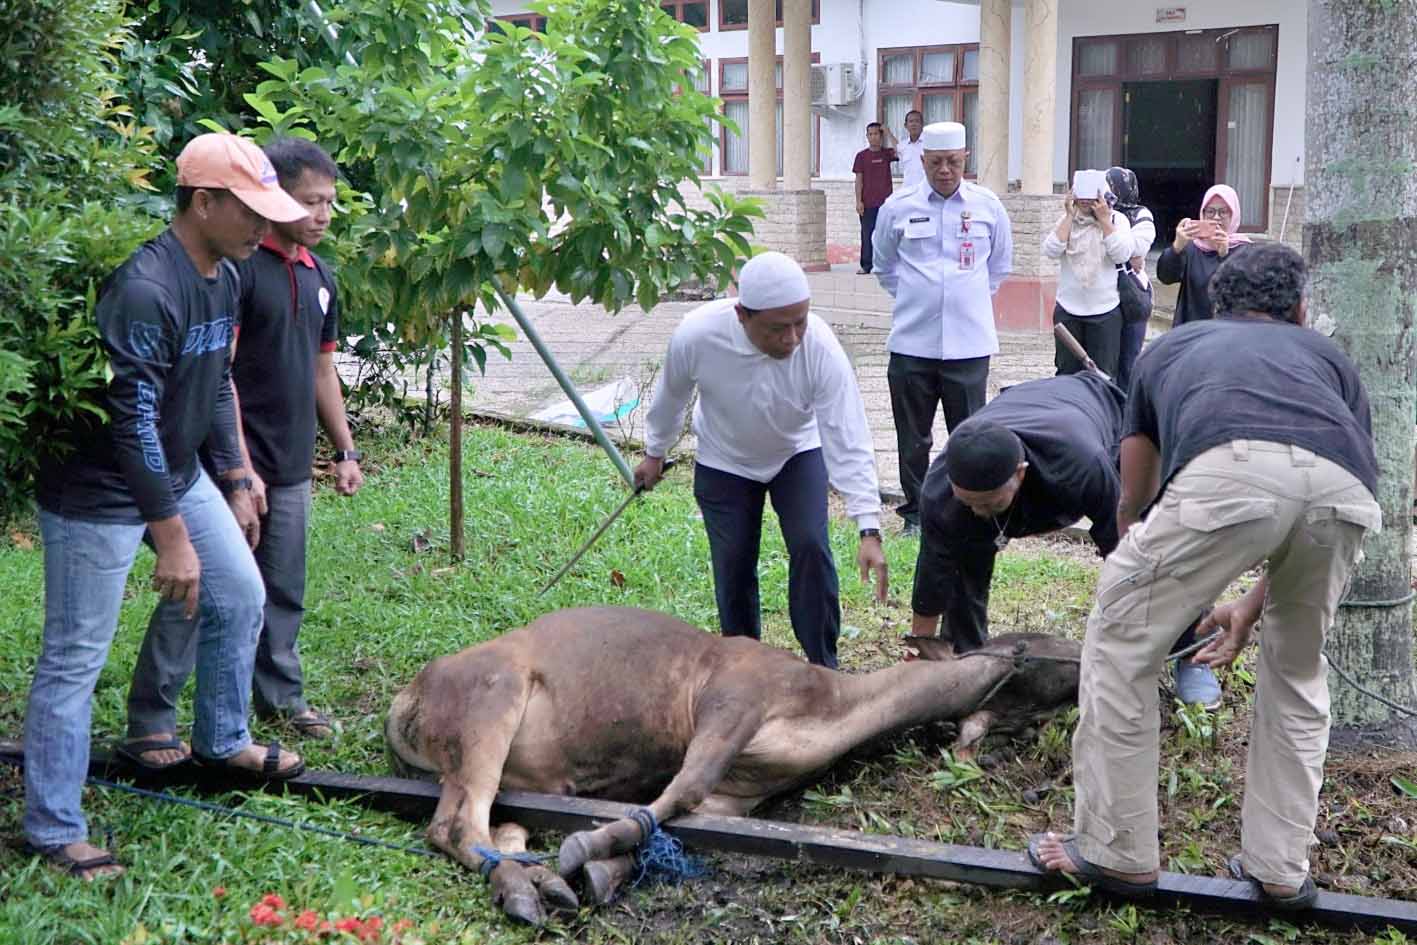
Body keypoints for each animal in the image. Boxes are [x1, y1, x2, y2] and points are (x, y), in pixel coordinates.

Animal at [382, 606, 1076, 923]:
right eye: (1034, 647)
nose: (1080, 651)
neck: (834, 709)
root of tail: (403, 704)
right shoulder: (732, 699)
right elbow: (680, 792)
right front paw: (587, 847)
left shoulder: (743, 795)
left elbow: (685, 818)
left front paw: (601, 870)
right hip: (488, 702)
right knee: (455, 822)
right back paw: (532, 887)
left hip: (529, 773)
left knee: (496, 825)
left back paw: (537, 886)